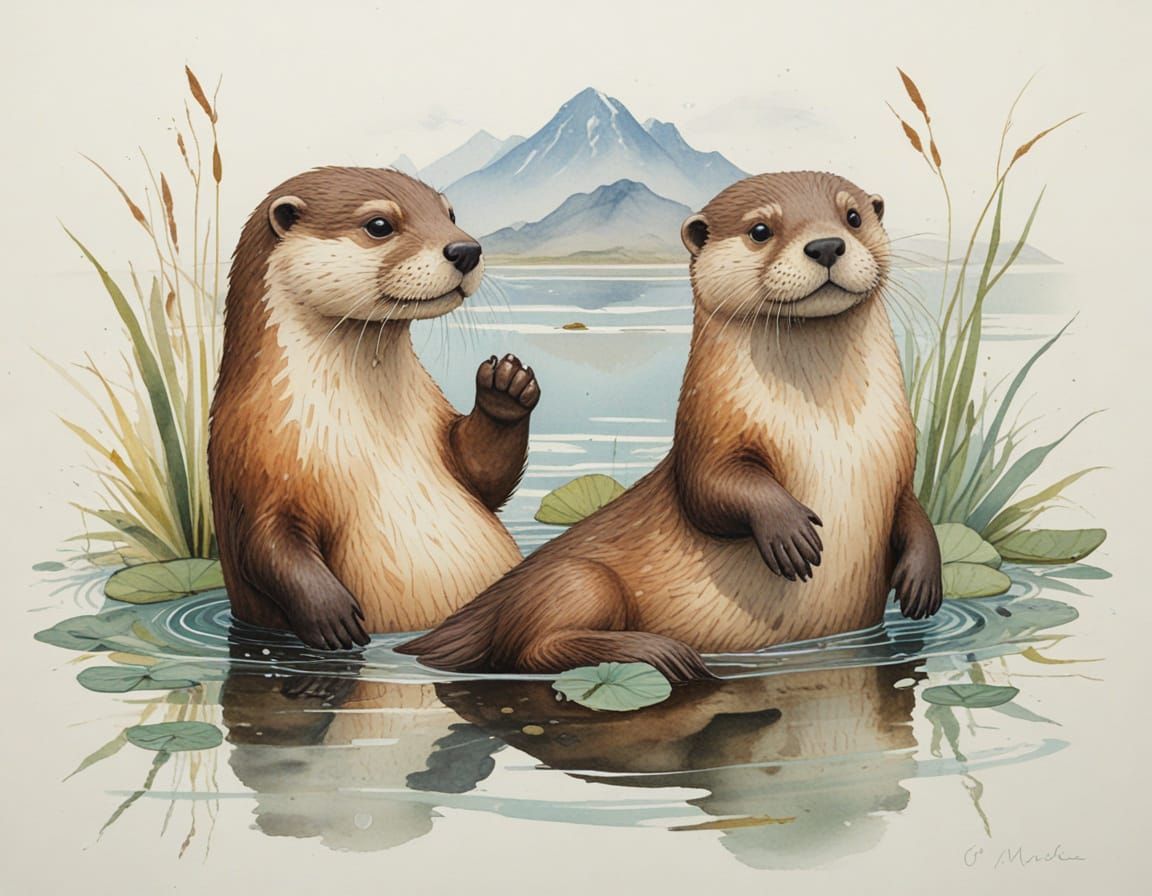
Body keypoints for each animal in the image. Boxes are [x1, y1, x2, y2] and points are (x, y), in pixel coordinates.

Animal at [209, 167, 540, 650]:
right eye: (379, 225)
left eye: (450, 214)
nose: (466, 249)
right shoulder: (253, 452)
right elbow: (265, 543)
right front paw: (331, 614)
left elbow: (483, 474)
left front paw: (506, 386)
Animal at [398, 171, 941, 680]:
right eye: (760, 230)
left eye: (853, 217)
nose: (827, 244)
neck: (830, 429)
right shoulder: (707, 433)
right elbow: (710, 489)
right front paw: (789, 531)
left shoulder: (899, 457)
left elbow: (911, 506)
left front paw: (923, 577)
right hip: (577, 580)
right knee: (530, 648)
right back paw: (662, 653)